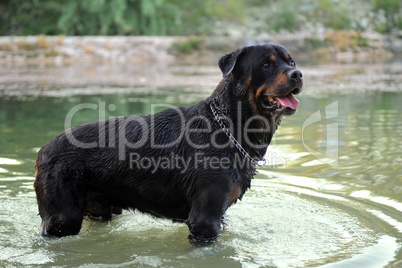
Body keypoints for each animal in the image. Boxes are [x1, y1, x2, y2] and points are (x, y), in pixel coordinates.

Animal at [35, 43, 304, 243]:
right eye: (266, 64)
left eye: (291, 62)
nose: (298, 74)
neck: (228, 127)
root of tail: (43, 151)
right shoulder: (205, 219)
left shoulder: (219, 215)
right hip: (63, 219)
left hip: (100, 210)